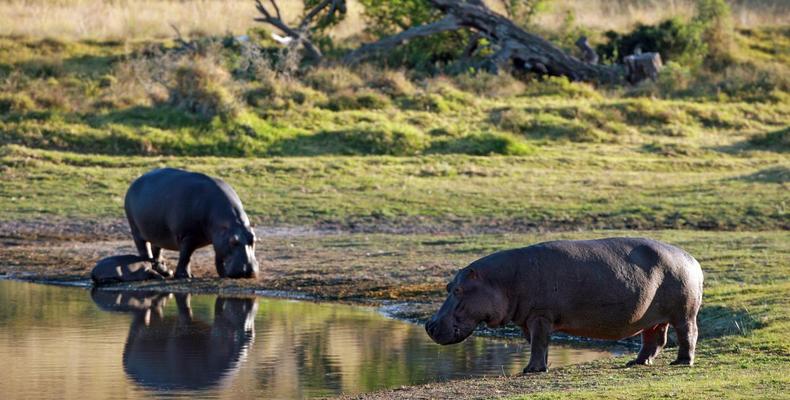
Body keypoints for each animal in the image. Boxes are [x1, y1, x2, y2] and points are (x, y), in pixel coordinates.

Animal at [124, 167, 260, 280]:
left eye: (254, 239)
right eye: (233, 241)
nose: (248, 271)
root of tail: (135, 182)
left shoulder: (219, 238)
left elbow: (218, 256)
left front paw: (221, 273)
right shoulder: (188, 236)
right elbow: (186, 255)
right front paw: (185, 276)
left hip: (157, 232)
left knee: (156, 250)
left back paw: (166, 272)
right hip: (136, 229)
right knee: (144, 250)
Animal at [426, 238, 704, 372]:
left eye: (459, 290)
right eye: (448, 287)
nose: (429, 325)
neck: (499, 280)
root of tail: (692, 259)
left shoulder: (540, 316)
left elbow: (539, 342)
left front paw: (530, 370)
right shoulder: (529, 320)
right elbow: (538, 343)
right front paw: (541, 367)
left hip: (684, 313)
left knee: (688, 334)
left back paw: (681, 362)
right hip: (653, 317)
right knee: (654, 339)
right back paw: (637, 363)